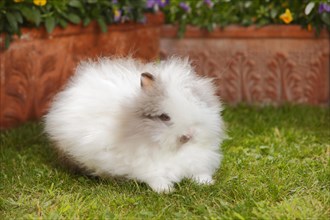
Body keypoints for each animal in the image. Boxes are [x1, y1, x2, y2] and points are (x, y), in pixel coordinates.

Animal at [43, 56, 226, 192]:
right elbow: (154, 176)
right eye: (164, 117)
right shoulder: (144, 164)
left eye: (199, 105)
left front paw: (206, 182)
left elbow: (199, 171)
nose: (189, 135)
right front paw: (165, 189)